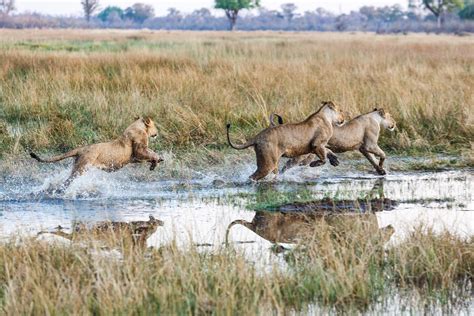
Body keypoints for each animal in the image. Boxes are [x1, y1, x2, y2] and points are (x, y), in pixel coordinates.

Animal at [30, 118, 163, 188]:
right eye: (155, 125)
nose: (157, 132)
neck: (139, 127)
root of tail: (81, 149)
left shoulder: (134, 157)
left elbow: (151, 155)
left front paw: (156, 162)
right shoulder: (138, 150)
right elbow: (151, 153)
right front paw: (157, 161)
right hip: (81, 167)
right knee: (68, 180)